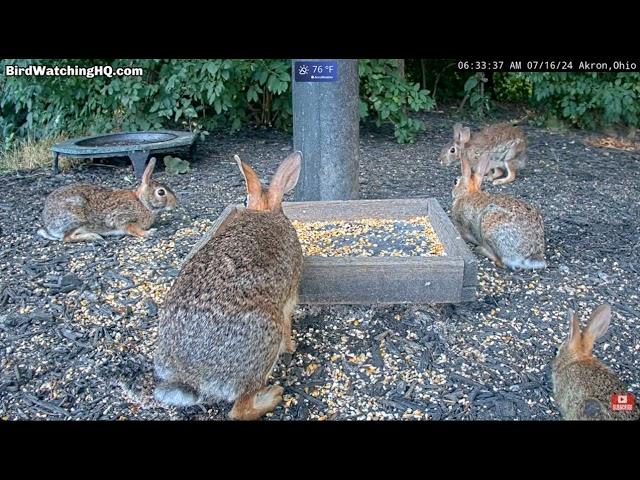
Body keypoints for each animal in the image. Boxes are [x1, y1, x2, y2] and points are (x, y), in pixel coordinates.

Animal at [37, 158, 178, 242]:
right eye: (161, 192)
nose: (175, 204)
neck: (142, 203)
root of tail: (48, 225)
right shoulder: (125, 219)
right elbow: (133, 230)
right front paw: (150, 233)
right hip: (76, 218)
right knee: (67, 238)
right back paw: (93, 236)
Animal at [154, 150, 304, 420]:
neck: (264, 212)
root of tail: (193, 376)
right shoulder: (288, 301)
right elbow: (289, 324)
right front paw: (291, 347)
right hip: (265, 342)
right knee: (239, 410)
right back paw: (272, 396)